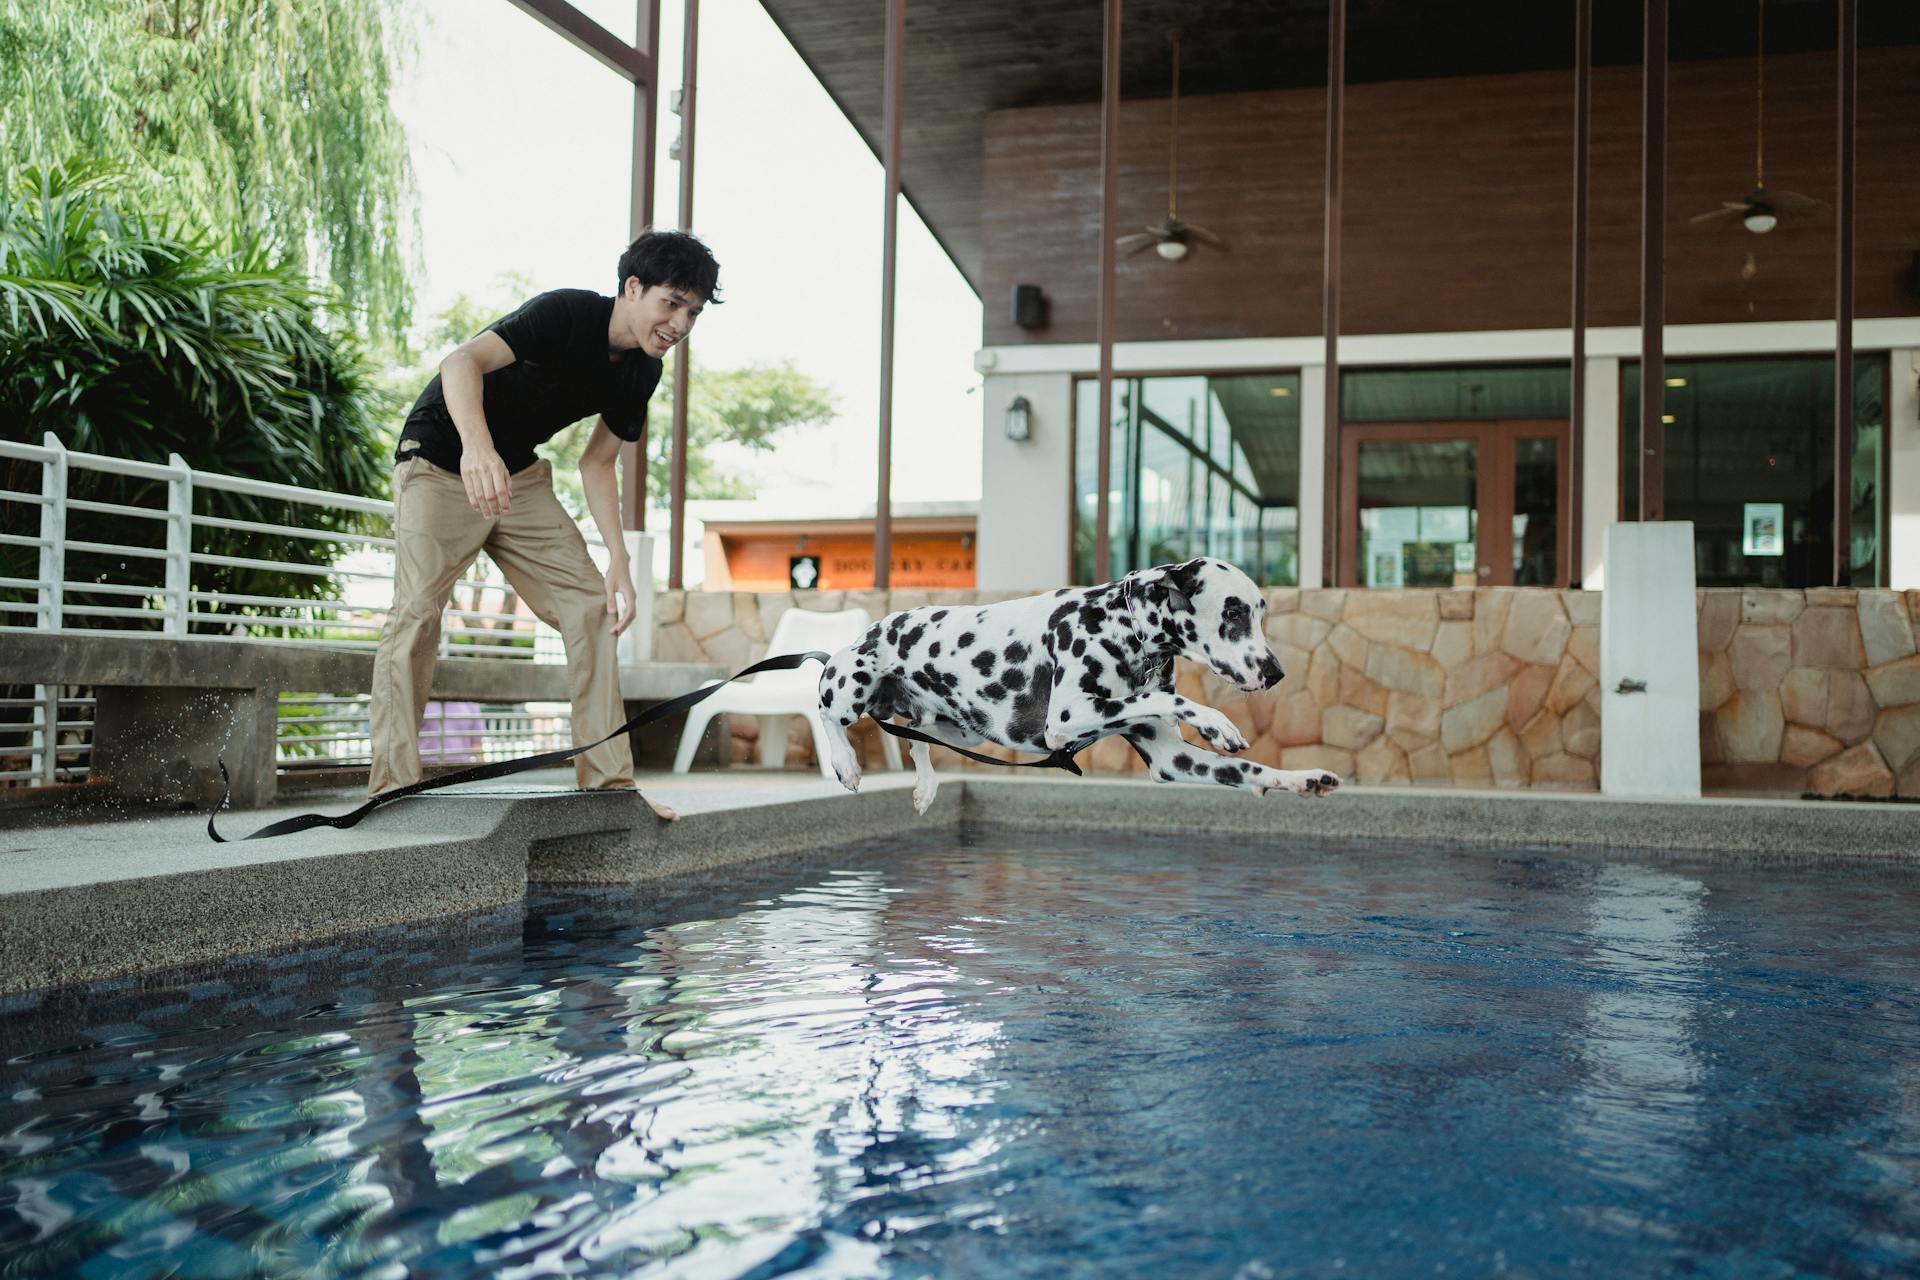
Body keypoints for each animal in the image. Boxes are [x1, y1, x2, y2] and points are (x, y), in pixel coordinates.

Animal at [817, 556, 1344, 817]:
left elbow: (1252, 769)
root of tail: (877, 626)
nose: (1275, 673)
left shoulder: (1172, 758)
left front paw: (1302, 778)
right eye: (1233, 611)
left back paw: (926, 786)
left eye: (1260, 611)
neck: (1122, 624)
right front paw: (1217, 722)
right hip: (849, 684)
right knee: (826, 710)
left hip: (962, 728)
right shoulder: (1069, 716)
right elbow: (1164, 695)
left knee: (917, 741)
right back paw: (845, 762)